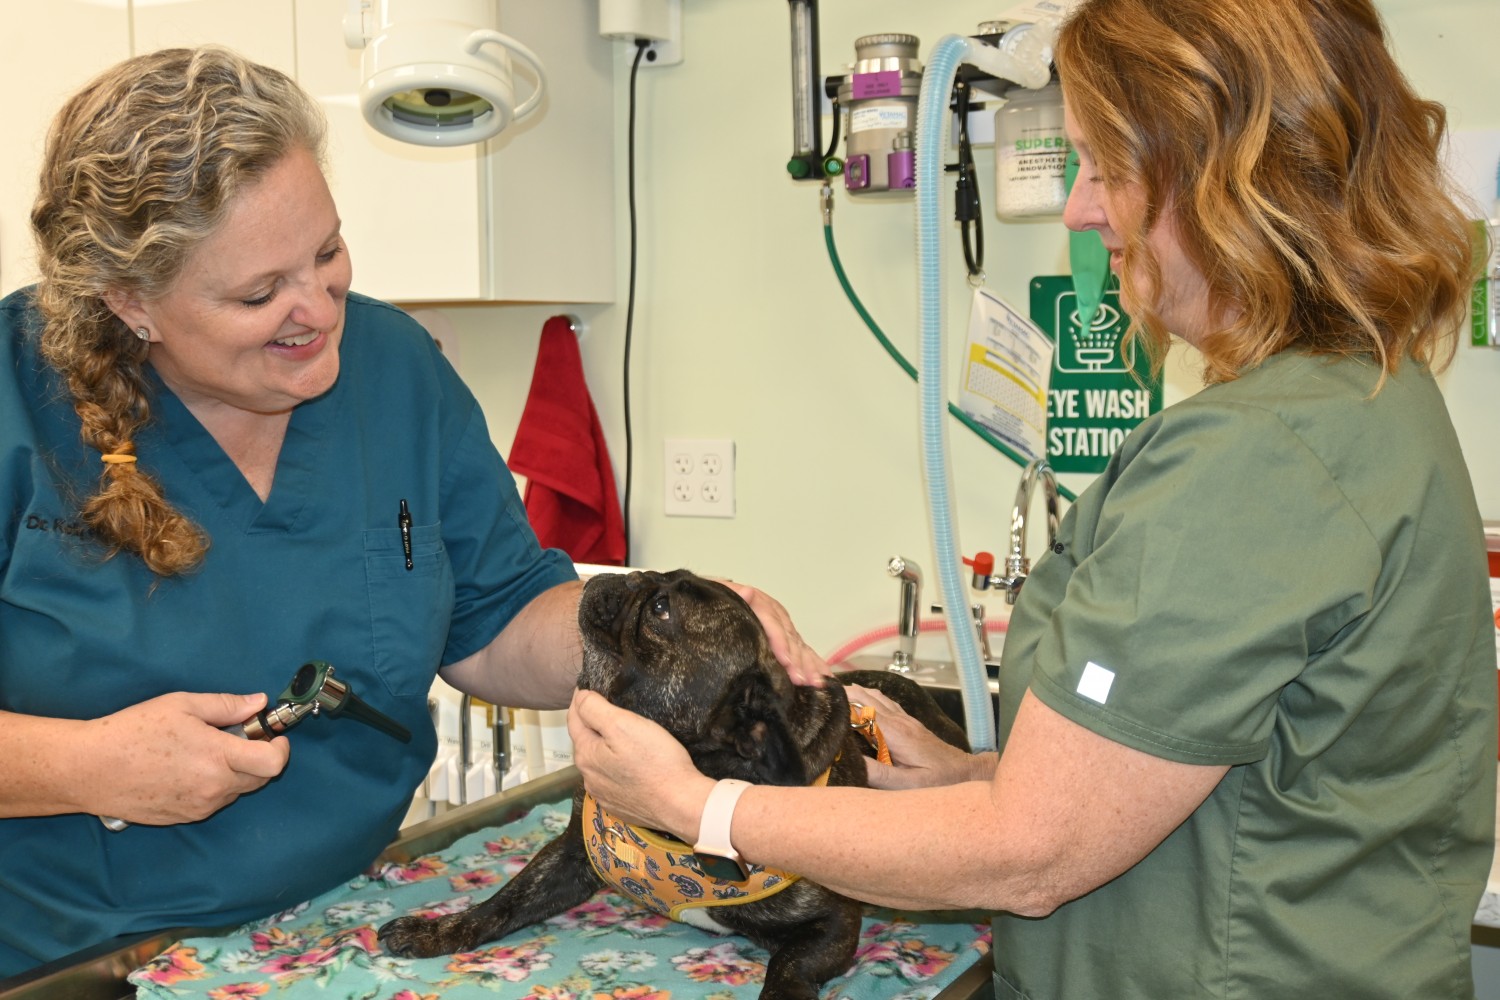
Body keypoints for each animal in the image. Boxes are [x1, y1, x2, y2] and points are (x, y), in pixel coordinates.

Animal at [378, 569, 972, 1000]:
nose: (619, 574)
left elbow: (787, 967)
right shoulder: (570, 855)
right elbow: (503, 902)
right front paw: (437, 930)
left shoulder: (831, 926)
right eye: (654, 579)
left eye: (661, 610)